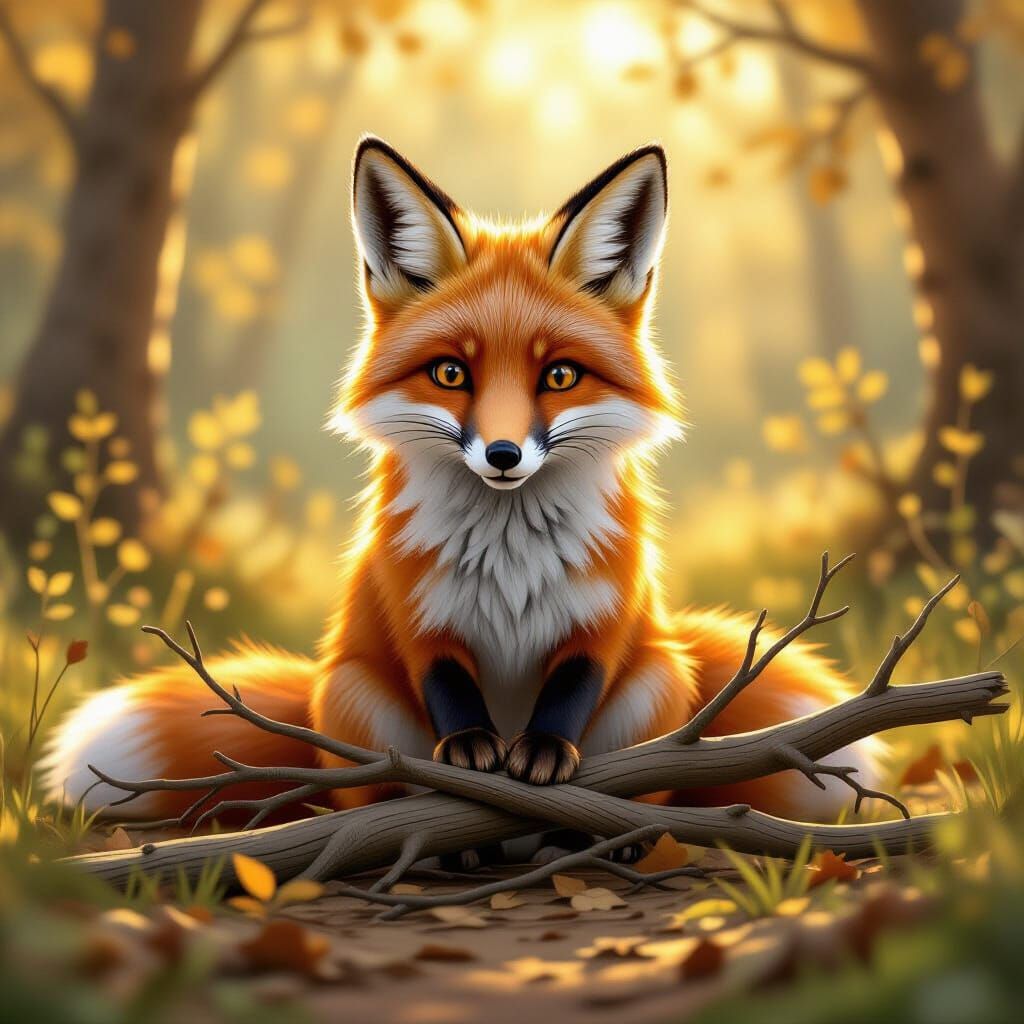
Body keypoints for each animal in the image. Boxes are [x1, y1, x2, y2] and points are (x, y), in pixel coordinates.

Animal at [42, 138, 882, 829]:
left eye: (559, 376)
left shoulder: (604, 613)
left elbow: (571, 684)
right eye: (451, 373)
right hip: (353, 695)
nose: (504, 454)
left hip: (660, 677)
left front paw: (541, 750)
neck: (509, 551)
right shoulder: (417, 606)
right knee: (366, 792)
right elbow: (448, 684)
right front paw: (475, 747)